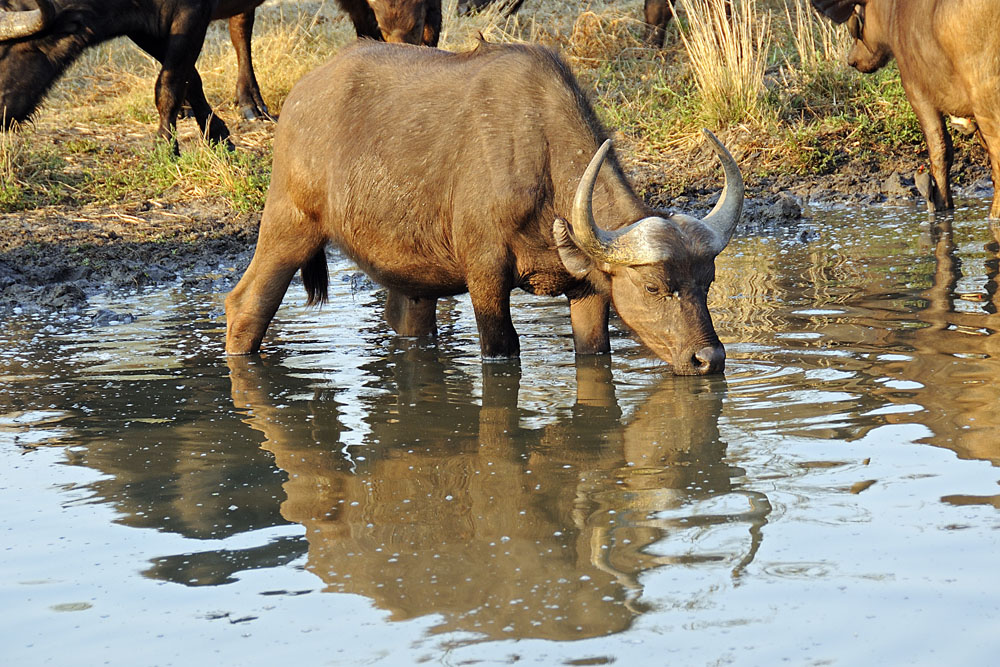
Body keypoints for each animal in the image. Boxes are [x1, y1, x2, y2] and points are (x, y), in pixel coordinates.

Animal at [224, 41, 744, 375]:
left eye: (708, 283)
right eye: (654, 287)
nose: (709, 360)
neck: (540, 155)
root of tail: (297, 98)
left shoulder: (586, 292)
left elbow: (596, 350)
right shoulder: (486, 275)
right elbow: (503, 348)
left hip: (411, 278)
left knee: (409, 321)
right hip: (289, 224)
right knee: (246, 303)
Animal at [812, 0, 1000, 219]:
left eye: (854, 23)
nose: (851, 59)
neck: (895, 13)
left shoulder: (916, 91)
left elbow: (940, 149)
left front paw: (939, 207)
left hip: (985, 91)